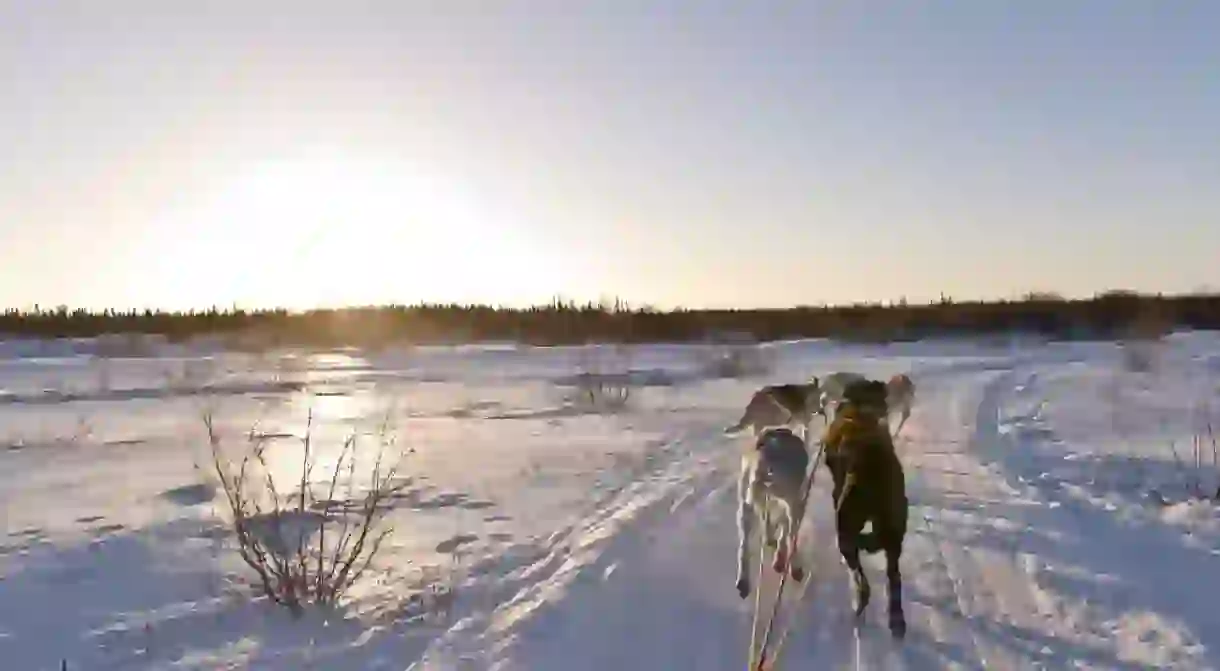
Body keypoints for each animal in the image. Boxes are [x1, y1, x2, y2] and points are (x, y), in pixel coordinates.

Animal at [732, 427, 810, 600]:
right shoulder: (792, 504)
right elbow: (785, 532)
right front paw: (780, 557)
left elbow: (768, 523)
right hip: (792, 504)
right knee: (791, 535)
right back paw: (794, 566)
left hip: (745, 507)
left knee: (743, 546)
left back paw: (743, 580)